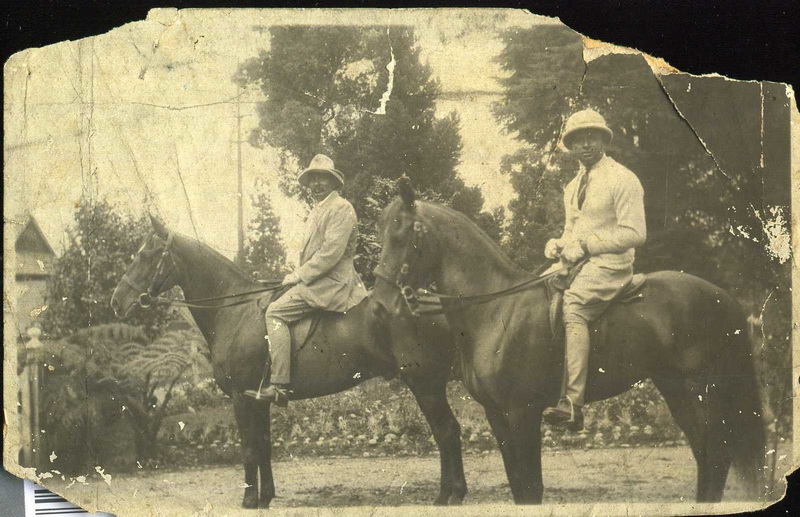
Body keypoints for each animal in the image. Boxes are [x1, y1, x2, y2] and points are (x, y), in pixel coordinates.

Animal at [110, 216, 467, 508]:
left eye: (145, 255)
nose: (117, 302)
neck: (234, 311)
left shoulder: (241, 398)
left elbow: (249, 448)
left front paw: (248, 500)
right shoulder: (259, 399)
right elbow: (264, 446)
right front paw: (265, 497)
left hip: (426, 385)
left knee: (446, 431)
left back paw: (450, 495)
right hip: (430, 385)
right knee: (446, 432)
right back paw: (448, 492)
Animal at [370, 186, 766, 505]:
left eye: (403, 233)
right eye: (383, 232)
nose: (379, 307)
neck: (495, 309)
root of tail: (726, 299)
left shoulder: (523, 413)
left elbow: (531, 488)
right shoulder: (496, 415)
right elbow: (519, 486)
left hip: (705, 390)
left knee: (717, 453)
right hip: (675, 388)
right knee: (705, 453)